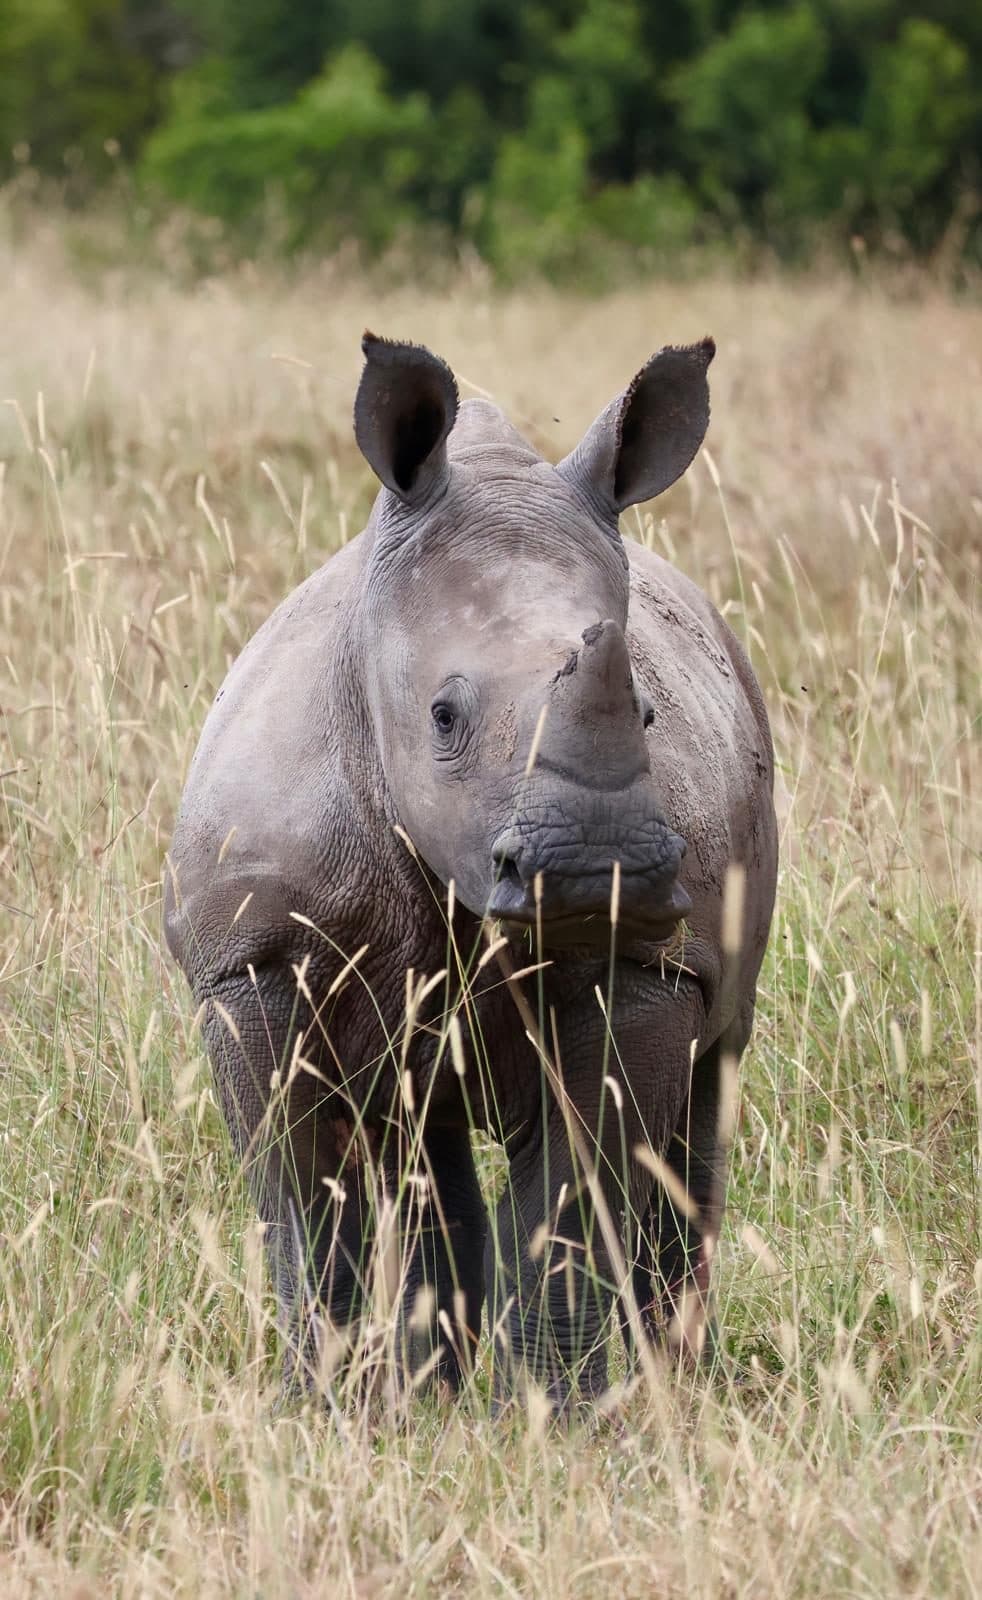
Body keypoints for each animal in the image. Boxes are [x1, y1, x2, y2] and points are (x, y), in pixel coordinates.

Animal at [164, 333, 778, 1404]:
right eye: (444, 716)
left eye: (649, 714)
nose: (595, 872)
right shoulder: (250, 958)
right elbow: (302, 1199)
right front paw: (322, 1406)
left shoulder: (645, 968)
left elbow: (578, 1196)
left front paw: (557, 1417)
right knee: (417, 1143)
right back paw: (429, 1393)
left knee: (704, 1105)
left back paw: (669, 1389)